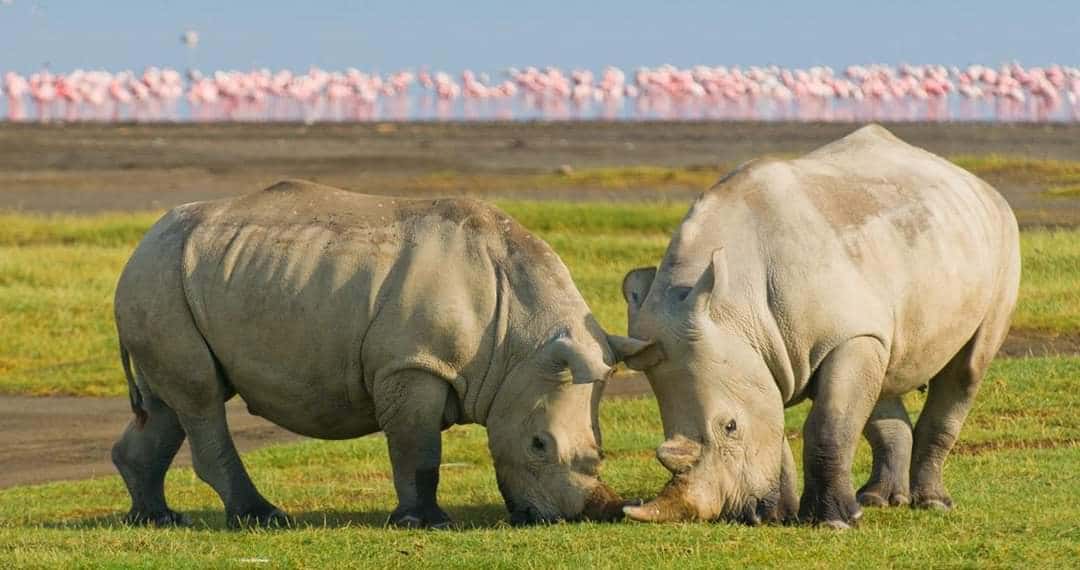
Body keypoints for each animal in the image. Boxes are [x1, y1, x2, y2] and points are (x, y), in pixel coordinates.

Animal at [112, 180, 647, 528]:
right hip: (159, 276)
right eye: (539, 444)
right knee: (200, 397)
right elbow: (418, 448)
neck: (521, 339)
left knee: (169, 403)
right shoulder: (412, 363)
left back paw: (157, 518)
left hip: (175, 279)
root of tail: (141, 243)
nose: (591, 513)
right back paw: (262, 519)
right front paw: (425, 523)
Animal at [618, 125, 1020, 528]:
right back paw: (878, 500)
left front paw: (832, 522)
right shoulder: (759, 354)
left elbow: (829, 424)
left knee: (966, 370)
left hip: (1003, 236)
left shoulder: (845, 336)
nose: (742, 515)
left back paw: (932, 503)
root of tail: (974, 181)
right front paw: (781, 515)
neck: (733, 305)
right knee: (884, 372)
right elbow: (776, 423)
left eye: (729, 426)